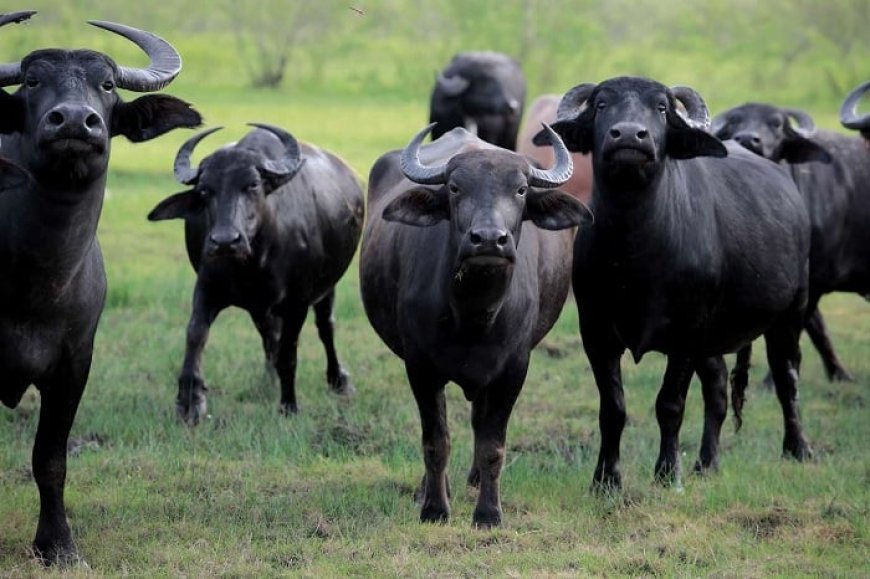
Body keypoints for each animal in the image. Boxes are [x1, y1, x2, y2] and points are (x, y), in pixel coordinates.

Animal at [0, 11, 199, 568]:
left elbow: (50, 459)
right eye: (32, 81)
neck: (37, 278)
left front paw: (58, 546)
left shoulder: (74, 364)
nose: (73, 122)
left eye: (107, 85)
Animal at [149, 124, 364, 424]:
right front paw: (190, 401)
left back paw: (338, 380)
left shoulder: (297, 301)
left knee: (325, 326)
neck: (255, 262)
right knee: (269, 334)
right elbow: (195, 334)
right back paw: (269, 379)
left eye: (252, 184)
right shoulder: (207, 287)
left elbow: (289, 352)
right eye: (204, 190)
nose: (225, 241)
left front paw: (289, 406)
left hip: (327, 286)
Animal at [362, 124, 592, 528]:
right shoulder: (420, 368)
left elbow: (491, 445)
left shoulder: (512, 370)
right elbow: (436, 441)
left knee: (476, 420)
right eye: (455, 188)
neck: (472, 313)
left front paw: (488, 513)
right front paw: (435, 508)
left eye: (520, 189)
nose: (488, 239)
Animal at [544, 77, 816, 492]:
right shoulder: (597, 332)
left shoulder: (686, 334)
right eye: (601, 104)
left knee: (787, 378)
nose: (629, 135)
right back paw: (708, 462)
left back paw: (797, 448)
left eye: (660, 107)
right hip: (715, 337)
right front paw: (606, 479)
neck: (633, 252)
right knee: (718, 389)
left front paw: (667, 472)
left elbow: (670, 404)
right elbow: (613, 408)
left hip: (790, 313)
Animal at [716, 98, 870, 390]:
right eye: (734, 123)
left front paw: (772, 382)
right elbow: (816, 329)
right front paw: (839, 374)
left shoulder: (814, 278)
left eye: (776, 124)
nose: (748, 139)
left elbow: (795, 331)